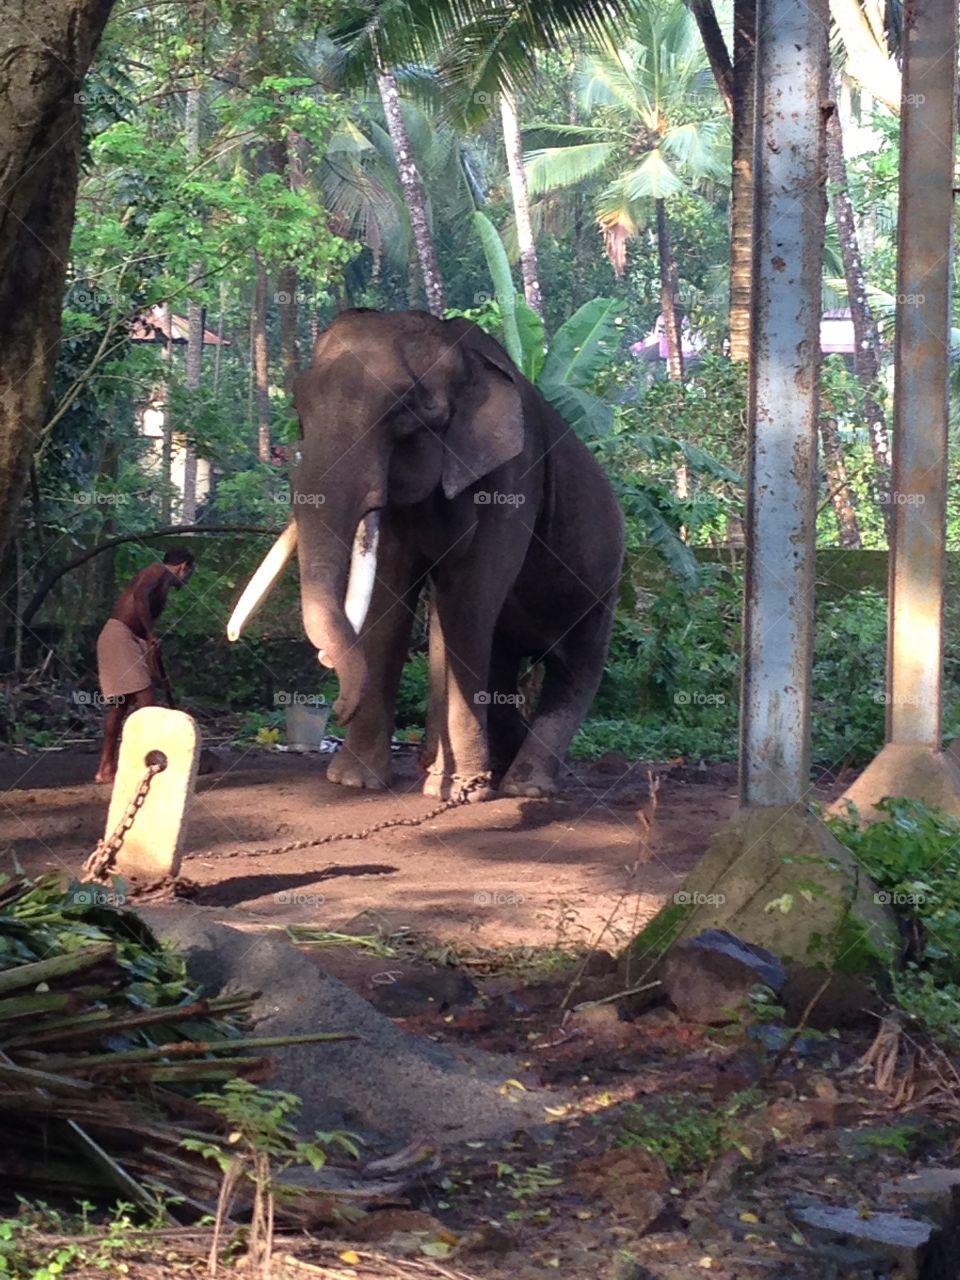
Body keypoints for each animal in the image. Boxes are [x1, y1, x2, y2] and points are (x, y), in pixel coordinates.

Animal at [228, 308, 624, 799]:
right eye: (299, 409)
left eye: (405, 412)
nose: (334, 708)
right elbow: (390, 595)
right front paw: (355, 780)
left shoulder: (514, 479)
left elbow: (468, 599)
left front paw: (459, 790)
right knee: (502, 658)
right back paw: (491, 767)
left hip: (605, 582)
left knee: (575, 668)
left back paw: (523, 786)